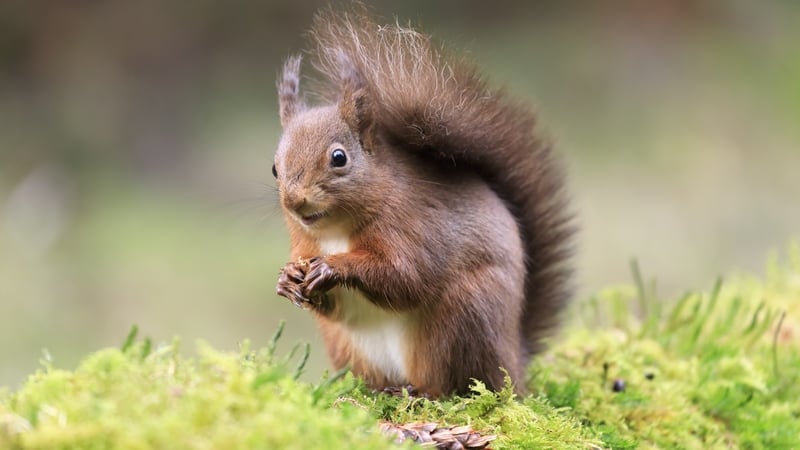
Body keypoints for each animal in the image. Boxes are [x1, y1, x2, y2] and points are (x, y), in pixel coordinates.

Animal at [273, 8, 573, 397]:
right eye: (274, 168)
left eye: (339, 158)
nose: (294, 201)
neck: (335, 231)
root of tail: (513, 365)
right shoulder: (304, 244)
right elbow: (333, 306)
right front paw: (287, 278)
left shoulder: (413, 226)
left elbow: (405, 276)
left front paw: (333, 267)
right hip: (346, 344)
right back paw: (376, 390)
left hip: (463, 316)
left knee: (452, 384)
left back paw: (420, 391)